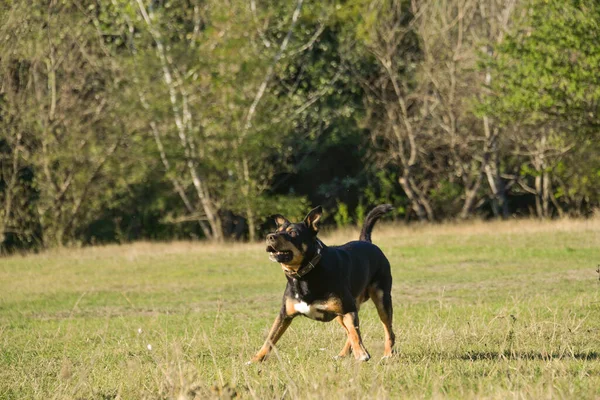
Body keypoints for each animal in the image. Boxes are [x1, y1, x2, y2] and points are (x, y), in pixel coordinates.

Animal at [248, 205, 394, 364]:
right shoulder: (284, 314)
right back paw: (343, 354)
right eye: (276, 231)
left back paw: (387, 354)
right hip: (341, 313)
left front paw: (361, 353)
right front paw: (255, 360)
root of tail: (367, 241)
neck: (304, 275)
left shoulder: (348, 309)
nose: (269, 236)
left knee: (387, 330)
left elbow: (355, 333)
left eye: (293, 232)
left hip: (381, 299)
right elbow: (270, 338)